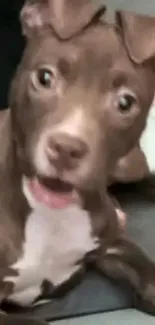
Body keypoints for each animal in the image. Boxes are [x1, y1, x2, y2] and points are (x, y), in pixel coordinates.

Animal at [1, 0, 155, 324]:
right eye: (44, 77)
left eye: (126, 102)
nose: (65, 148)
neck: (51, 216)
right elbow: (33, 321)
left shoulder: (110, 244)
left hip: (128, 166)